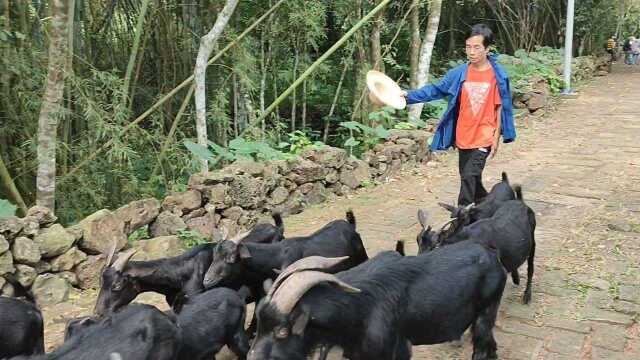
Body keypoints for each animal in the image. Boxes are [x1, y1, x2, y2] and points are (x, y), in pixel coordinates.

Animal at [249, 242, 504, 360]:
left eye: (282, 331)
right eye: (259, 325)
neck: (358, 309)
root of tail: (493, 256)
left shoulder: (394, 350)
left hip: (486, 311)